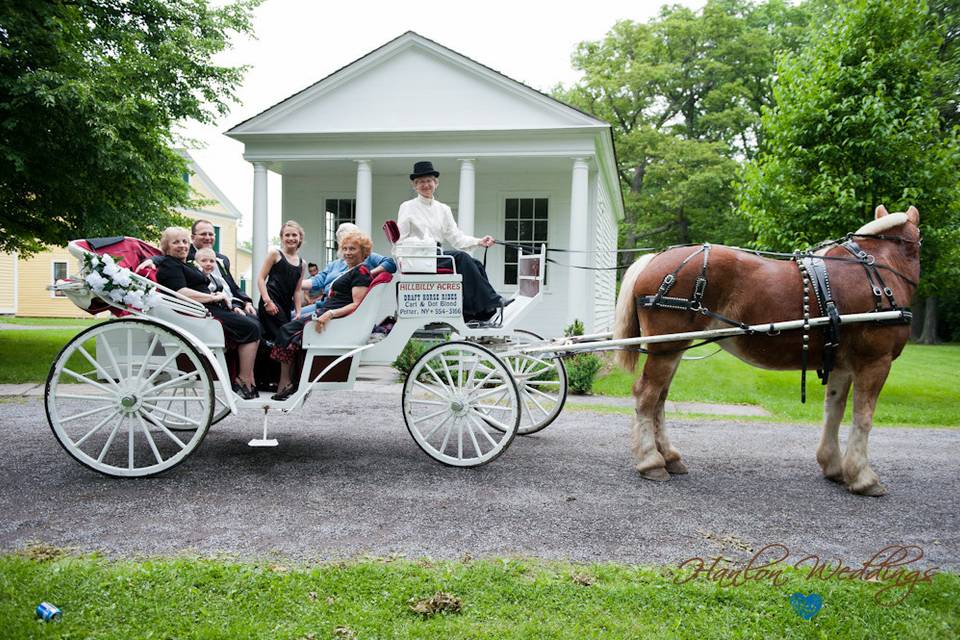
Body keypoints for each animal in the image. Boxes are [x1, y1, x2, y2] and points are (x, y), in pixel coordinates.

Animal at [616, 205, 924, 496]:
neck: (876, 274)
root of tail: (654, 259)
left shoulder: (841, 365)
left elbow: (834, 411)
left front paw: (834, 466)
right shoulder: (875, 361)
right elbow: (864, 417)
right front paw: (863, 477)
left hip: (672, 347)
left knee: (659, 398)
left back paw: (668, 457)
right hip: (666, 346)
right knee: (646, 395)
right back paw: (650, 461)